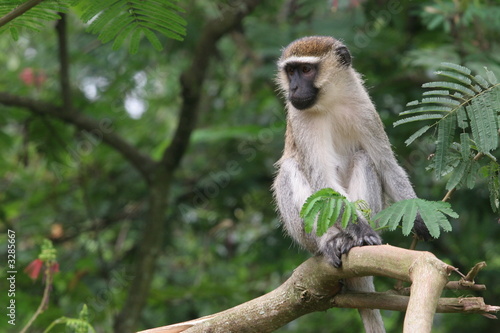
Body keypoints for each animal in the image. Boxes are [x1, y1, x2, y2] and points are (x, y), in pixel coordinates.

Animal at [272, 35, 432, 330]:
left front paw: (418, 217)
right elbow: (322, 181)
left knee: (365, 158)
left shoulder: (365, 109)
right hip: (305, 235)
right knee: (290, 169)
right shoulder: (300, 118)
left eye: (306, 70)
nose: (294, 88)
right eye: (290, 71)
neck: (331, 101)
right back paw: (334, 240)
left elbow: (385, 164)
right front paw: (361, 232)